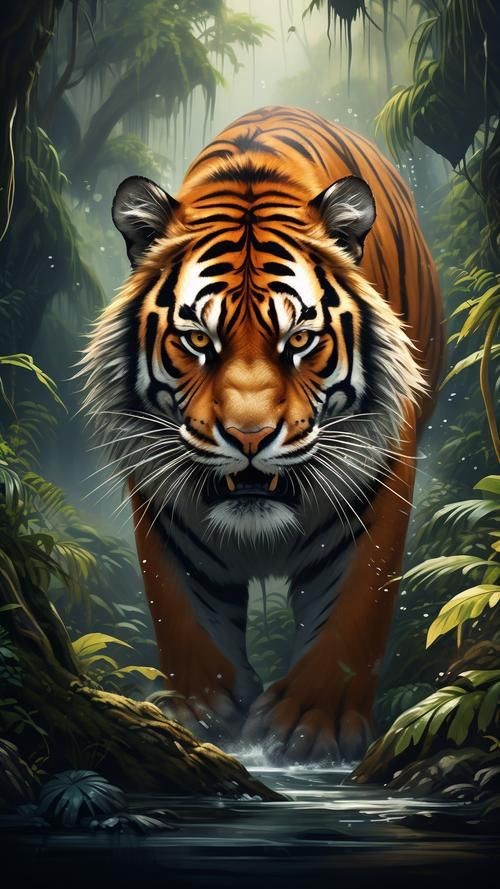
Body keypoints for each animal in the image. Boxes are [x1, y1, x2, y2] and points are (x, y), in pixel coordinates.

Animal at [82, 105, 443, 763]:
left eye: (298, 338)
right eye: (198, 339)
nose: (249, 437)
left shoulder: (381, 478)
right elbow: (185, 617)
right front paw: (207, 715)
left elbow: (354, 611)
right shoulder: (157, 497)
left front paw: (311, 725)